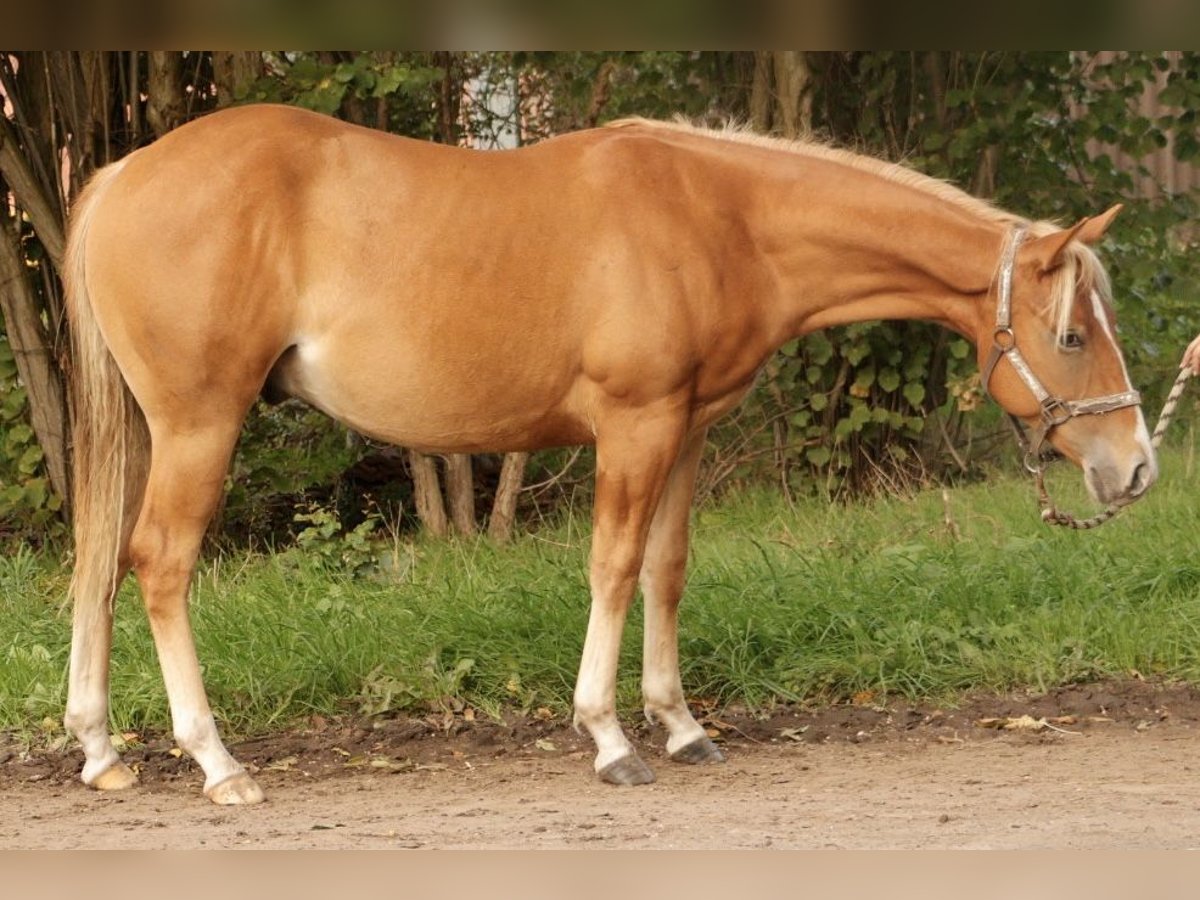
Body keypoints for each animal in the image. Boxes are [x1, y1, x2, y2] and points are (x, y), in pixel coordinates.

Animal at [62, 105, 1155, 804]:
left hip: (148, 429)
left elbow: (666, 570)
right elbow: (615, 568)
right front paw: (609, 738)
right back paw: (218, 765)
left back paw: (102, 750)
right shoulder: (635, 426)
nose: (1136, 466)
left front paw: (683, 726)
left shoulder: (687, 429)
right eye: (1071, 334)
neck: (721, 217)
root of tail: (121, 175)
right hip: (201, 424)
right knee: (159, 564)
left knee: (98, 567)